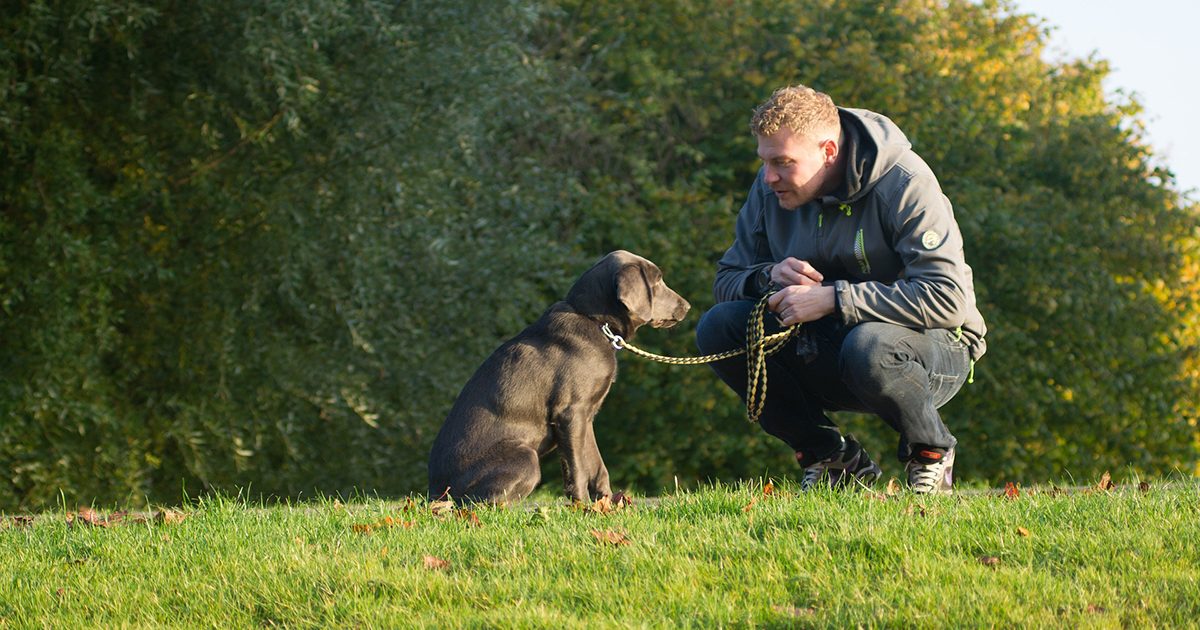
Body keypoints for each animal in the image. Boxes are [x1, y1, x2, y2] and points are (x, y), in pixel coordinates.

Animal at [429, 249, 696, 501]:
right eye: (657, 282)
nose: (687, 306)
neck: (593, 319)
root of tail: (434, 493)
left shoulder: (587, 417)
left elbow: (598, 467)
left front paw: (607, 505)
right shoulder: (570, 412)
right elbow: (577, 468)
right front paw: (583, 507)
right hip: (526, 456)